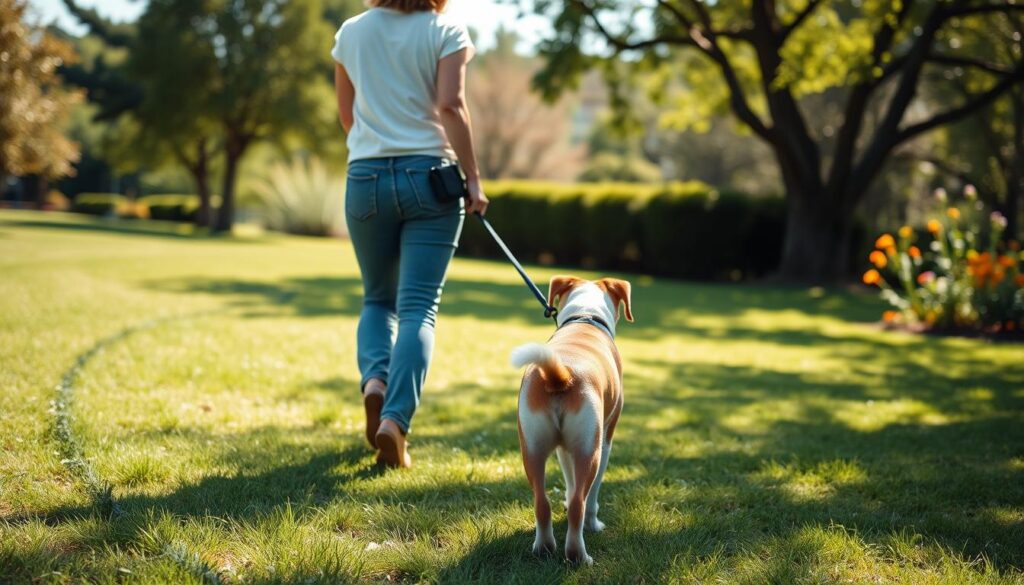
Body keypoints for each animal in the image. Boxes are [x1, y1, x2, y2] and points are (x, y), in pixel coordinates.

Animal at [512, 276, 630, 565]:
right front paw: (594, 525)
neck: (586, 316)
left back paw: (543, 547)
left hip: (531, 447)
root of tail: (559, 374)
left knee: (541, 501)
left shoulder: (565, 449)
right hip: (589, 449)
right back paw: (579, 555)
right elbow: (590, 493)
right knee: (580, 503)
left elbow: (569, 481)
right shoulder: (604, 442)